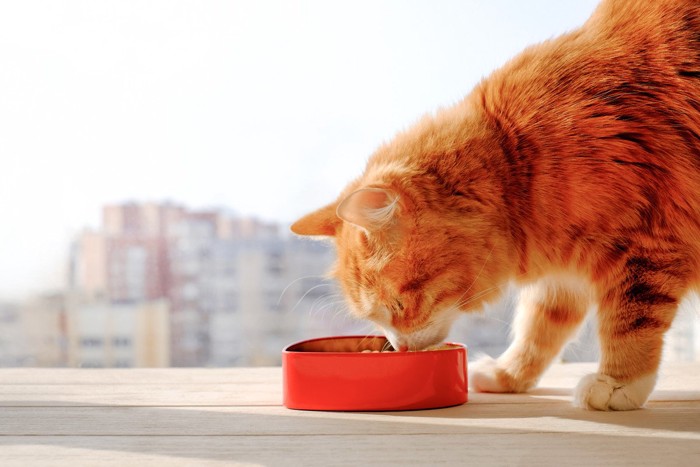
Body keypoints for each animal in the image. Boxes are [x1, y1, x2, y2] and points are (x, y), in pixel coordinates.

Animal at [290, 0, 700, 410]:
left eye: (399, 306)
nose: (401, 349)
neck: (517, 159)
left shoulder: (645, 251)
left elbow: (628, 325)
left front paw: (618, 383)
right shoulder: (563, 276)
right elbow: (538, 330)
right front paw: (509, 375)